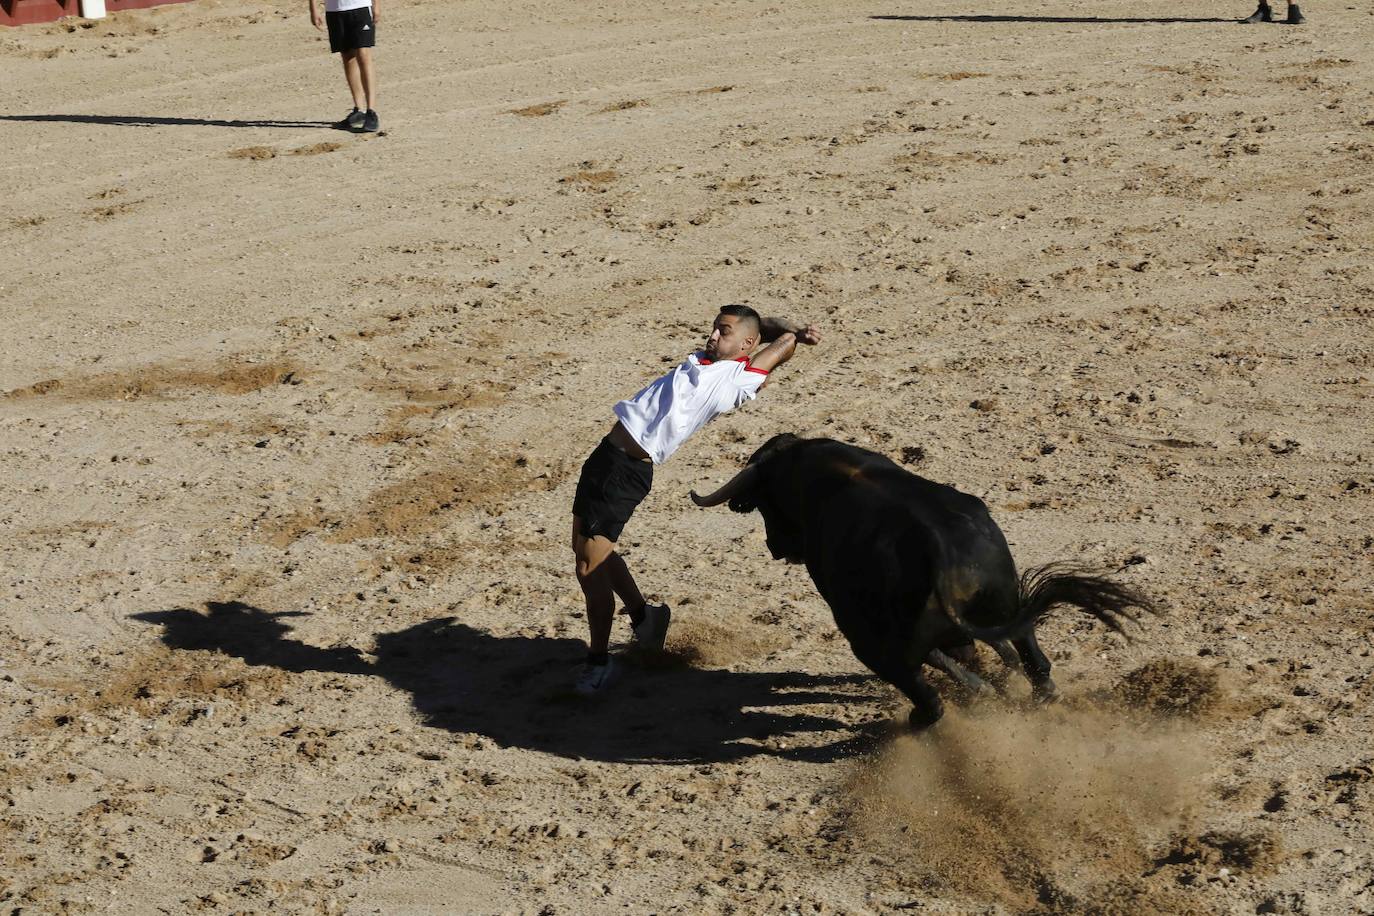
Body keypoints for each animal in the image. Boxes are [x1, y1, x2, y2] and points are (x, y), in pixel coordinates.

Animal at [692, 436, 1154, 730]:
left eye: (765, 504)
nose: (775, 546)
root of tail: (941, 553)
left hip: (867, 638)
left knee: (917, 682)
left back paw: (933, 713)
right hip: (1006, 600)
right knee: (1028, 652)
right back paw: (1033, 693)